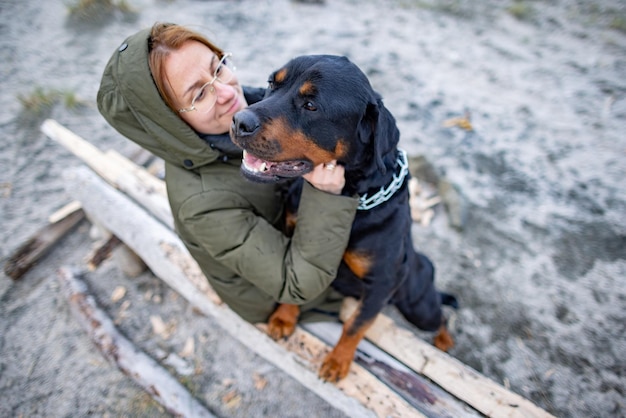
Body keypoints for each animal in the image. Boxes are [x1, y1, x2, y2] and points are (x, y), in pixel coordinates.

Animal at [229, 55, 454, 382]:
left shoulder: (382, 282)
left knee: (440, 316)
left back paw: (444, 340)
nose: (239, 121)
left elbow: (356, 325)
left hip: (417, 305)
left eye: (311, 105)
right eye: (272, 83)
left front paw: (338, 361)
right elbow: (294, 281)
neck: (353, 198)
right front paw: (284, 318)